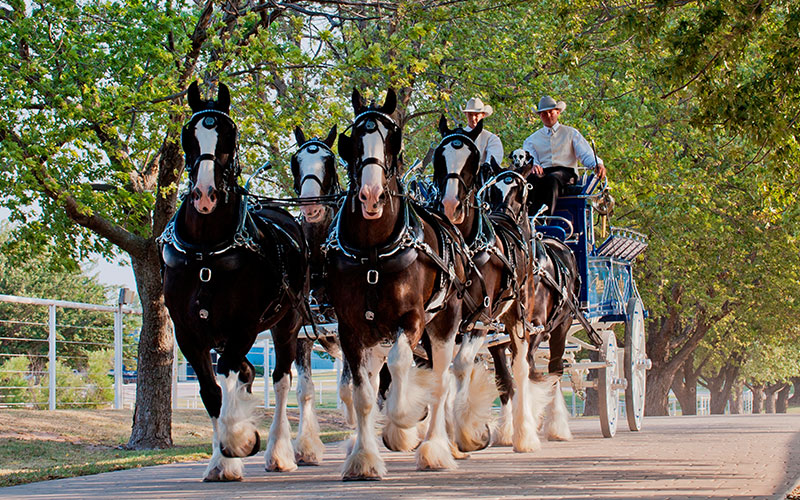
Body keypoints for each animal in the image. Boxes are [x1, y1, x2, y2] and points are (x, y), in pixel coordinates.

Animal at [162, 82, 310, 480]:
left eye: (229, 134)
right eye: (189, 134)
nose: (205, 195)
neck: (206, 252)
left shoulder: (244, 325)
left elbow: (228, 373)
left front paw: (239, 440)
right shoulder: (188, 332)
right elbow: (211, 391)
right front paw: (222, 459)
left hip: (287, 324)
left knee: (281, 380)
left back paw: (278, 452)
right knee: (246, 372)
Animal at [326, 90, 482, 480]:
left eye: (391, 140)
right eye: (353, 140)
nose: (371, 196)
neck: (373, 251)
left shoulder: (411, 320)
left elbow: (400, 371)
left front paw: (406, 418)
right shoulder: (351, 328)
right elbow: (362, 393)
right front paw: (363, 458)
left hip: (445, 323)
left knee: (443, 381)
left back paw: (436, 448)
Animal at [484, 168, 580, 454]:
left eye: (520, 194)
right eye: (490, 192)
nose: (499, 222)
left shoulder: (533, 328)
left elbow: (526, 371)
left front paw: (526, 431)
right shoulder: (495, 336)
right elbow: (505, 379)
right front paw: (508, 430)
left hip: (561, 326)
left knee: (556, 368)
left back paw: (557, 426)